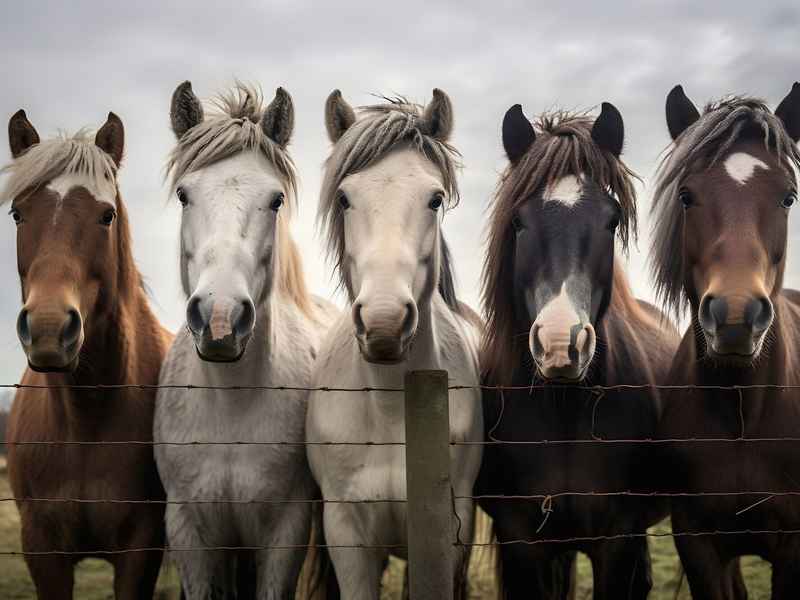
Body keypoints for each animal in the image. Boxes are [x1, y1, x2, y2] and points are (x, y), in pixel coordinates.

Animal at [2, 111, 172, 599]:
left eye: (106, 215)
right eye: (17, 213)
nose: (48, 328)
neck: (85, 423)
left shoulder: (141, 549)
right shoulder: (42, 551)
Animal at [154, 82, 339, 599]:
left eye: (275, 200)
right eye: (184, 195)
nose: (220, 319)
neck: (230, 404)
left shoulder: (285, 532)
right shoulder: (189, 532)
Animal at [306, 89, 483, 599]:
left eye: (435, 198)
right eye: (344, 197)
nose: (384, 324)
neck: (389, 412)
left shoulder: (446, 531)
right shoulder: (345, 534)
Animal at [478, 103, 680, 599]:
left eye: (612, 220)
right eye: (518, 221)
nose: (559, 344)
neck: (563, 410)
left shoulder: (618, 539)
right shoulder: (521, 541)